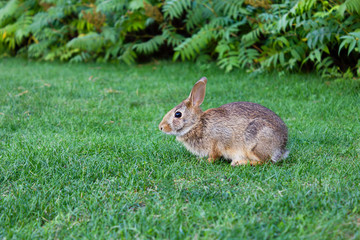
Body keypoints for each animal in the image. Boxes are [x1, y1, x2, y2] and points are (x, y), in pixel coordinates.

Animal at [159, 77, 288, 165]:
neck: (197, 124)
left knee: (265, 161)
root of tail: (281, 148)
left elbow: (214, 156)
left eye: (178, 114)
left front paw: (205, 161)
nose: (161, 127)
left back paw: (239, 163)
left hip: (255, 143)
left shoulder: (217, 142)